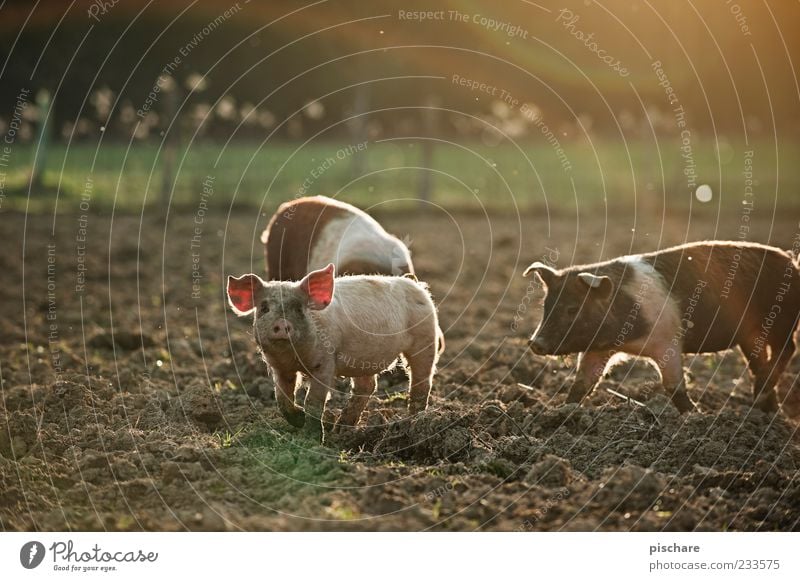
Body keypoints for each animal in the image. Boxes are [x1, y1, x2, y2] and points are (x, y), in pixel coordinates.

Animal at [225, 262, 440, 440]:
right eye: (264, 308)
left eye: (298, 308)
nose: (282, 323)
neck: (292, 357)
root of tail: (416, 285)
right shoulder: (279, 368)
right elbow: (281, 398)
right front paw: (299, 419)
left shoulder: (325, 363)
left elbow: (314, 400)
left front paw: (310, 438)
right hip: (365, 358)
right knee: (368, 386)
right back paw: (341, 430)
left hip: (425, 340)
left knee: (421, 383)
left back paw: (412, 423)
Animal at [524, 240, 800, 412]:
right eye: (546, 306)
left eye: (572, 309)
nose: (534, 343)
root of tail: (791, 260)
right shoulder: (598, 349)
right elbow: (583, 382)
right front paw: (562, 410)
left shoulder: (668, 340)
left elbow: (673, 385)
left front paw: (696, 416)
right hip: (750, 335)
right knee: (758, 361)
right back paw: (764, 406)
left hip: (782, 321)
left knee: (788, 349)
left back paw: (761, 396)